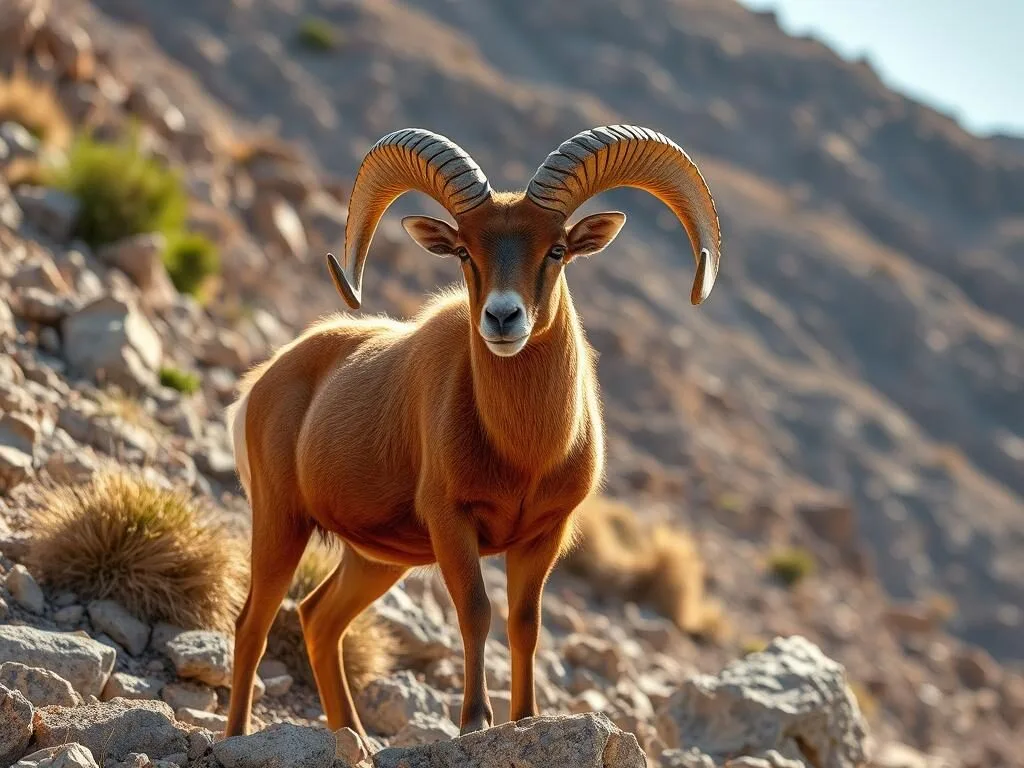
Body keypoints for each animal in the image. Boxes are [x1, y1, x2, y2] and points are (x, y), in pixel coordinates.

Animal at [224, 125, 722, 738]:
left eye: (557, 249)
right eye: (465, 250)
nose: (503, 319)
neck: (525, 455)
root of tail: (261, 384)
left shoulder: (543, 537)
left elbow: (524, 623)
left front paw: (525, 717)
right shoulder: (452, 525)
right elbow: (476, 613)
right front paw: (473, 722)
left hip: (376, 560)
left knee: (318, 619)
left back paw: (356, 740)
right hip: (281, 522)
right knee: (254, 623)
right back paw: (238, 736)